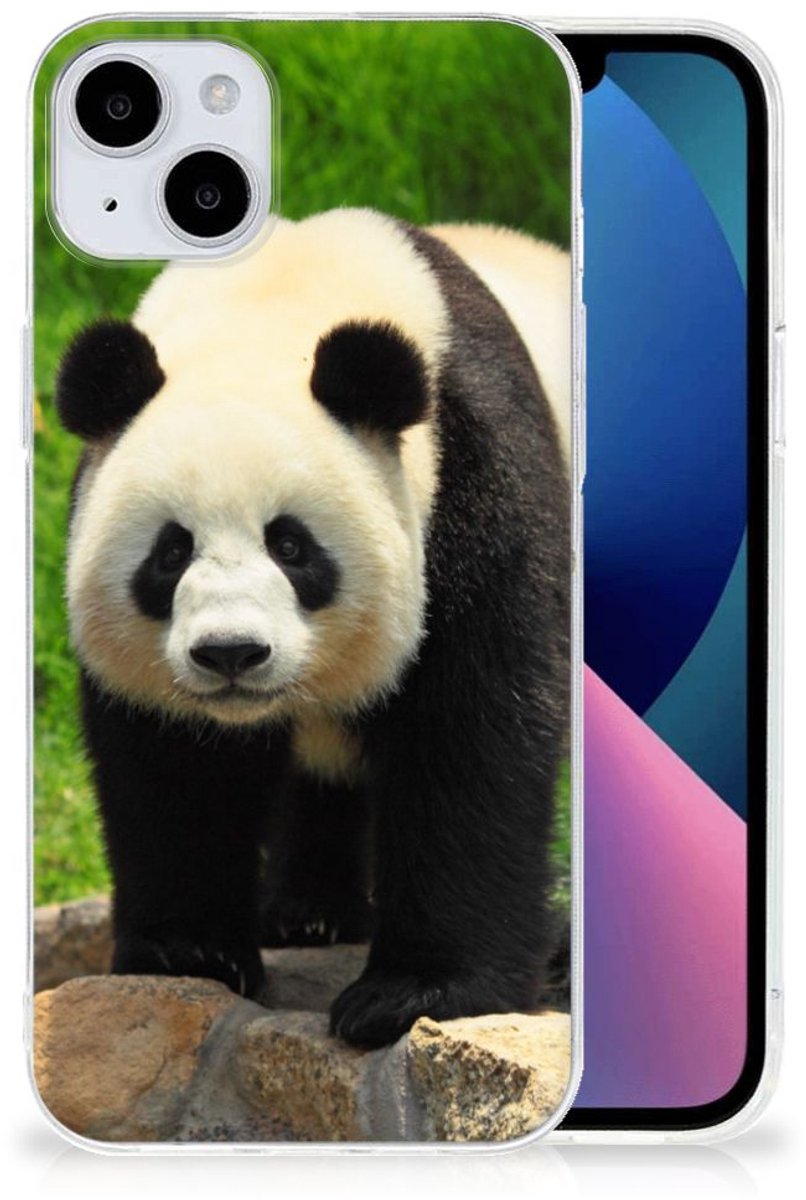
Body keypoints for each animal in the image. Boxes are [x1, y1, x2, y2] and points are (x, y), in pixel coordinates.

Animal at [55, 208, 571, 1048]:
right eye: (171, 552)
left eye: (291, 546)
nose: (231, 653)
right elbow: (175, 764)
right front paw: (189, 952)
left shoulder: (477, 479)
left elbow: (473, 733)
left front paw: (415, 993)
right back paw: (308, 913)